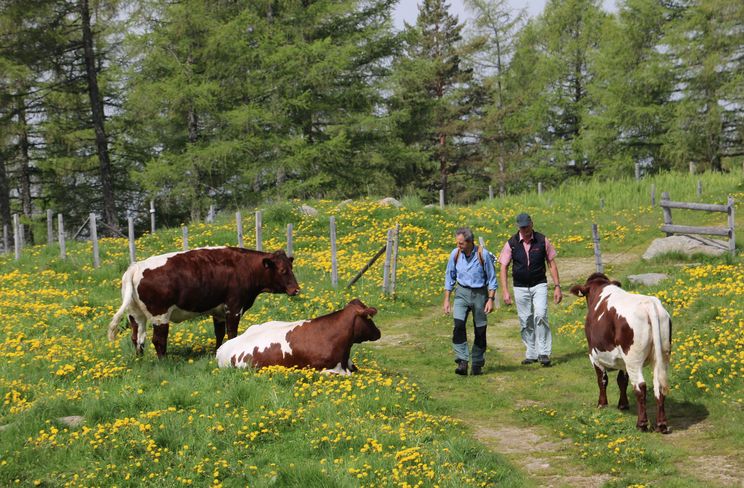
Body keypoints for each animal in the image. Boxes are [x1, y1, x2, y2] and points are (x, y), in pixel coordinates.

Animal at [108, 248, 300, 358]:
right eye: (282, 270)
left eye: (291, 268)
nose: (296, 289)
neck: (244, 267)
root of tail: (135, 267)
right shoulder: (234, 307)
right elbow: (232, 333)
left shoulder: (219, 311)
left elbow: (219, 334)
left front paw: (218, 350)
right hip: (160, 315)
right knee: (158, 340)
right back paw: (164, 362)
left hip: (135, 315)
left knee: (137, 338)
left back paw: (140, 359)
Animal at [568, 272, 676, 432]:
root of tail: (648, 303)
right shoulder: (622, 361)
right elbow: (622, 380)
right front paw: (623, 404)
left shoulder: (593, 355)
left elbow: (602, 379)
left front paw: (602, 404)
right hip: (662, 355)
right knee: (659, 385)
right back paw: (661, 424)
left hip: (633, 358)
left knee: (640, 386)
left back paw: (641, 423)